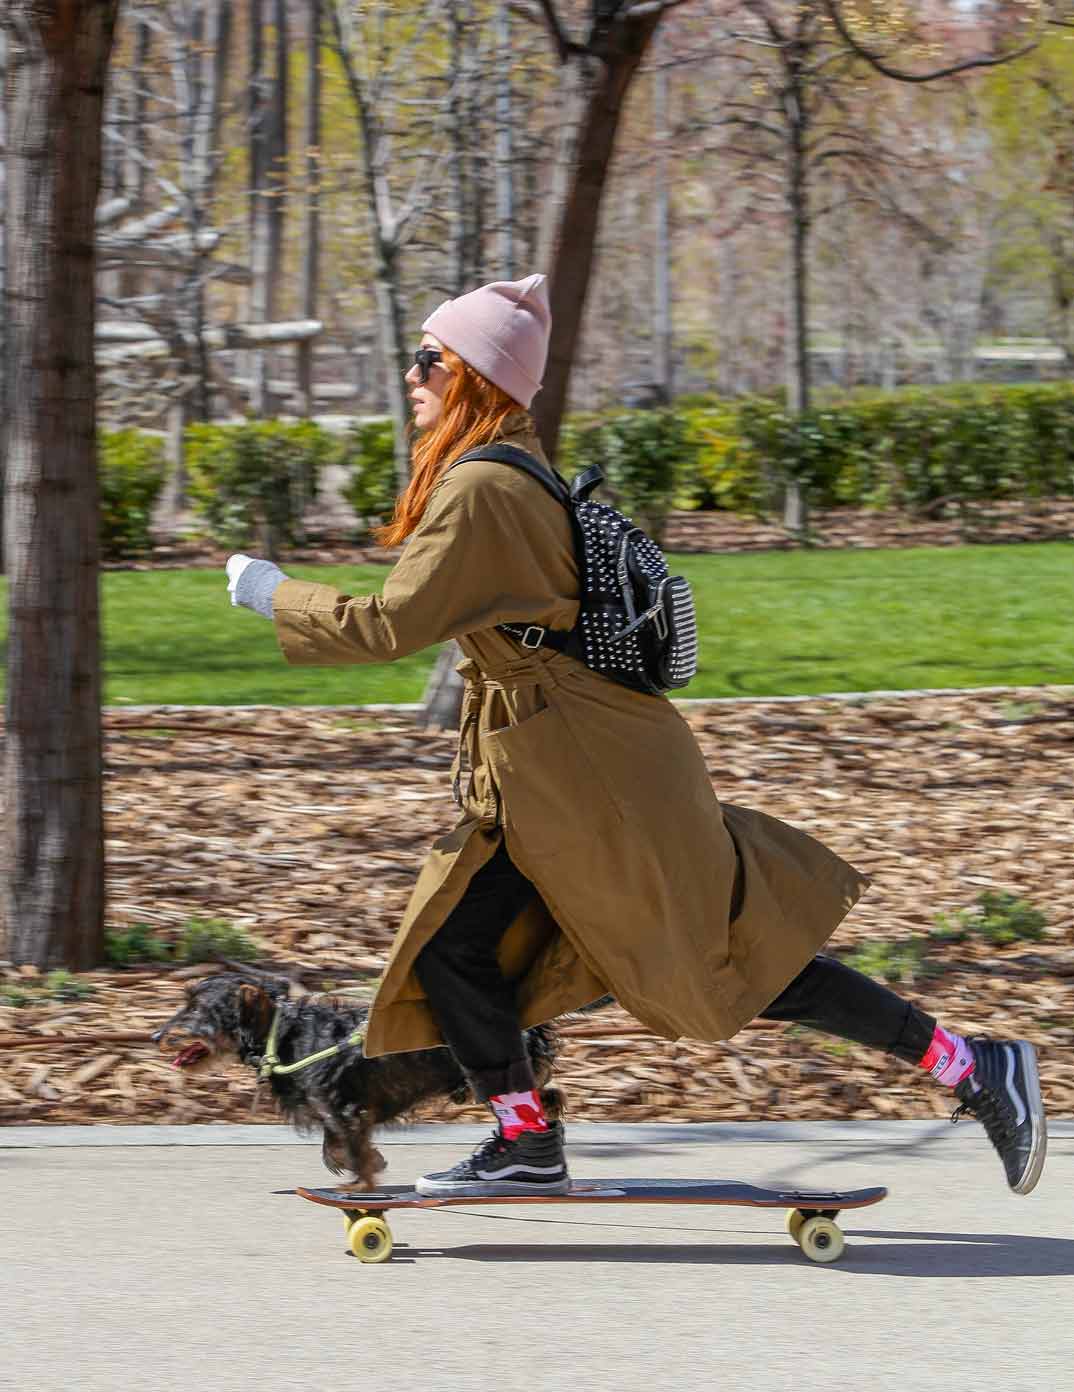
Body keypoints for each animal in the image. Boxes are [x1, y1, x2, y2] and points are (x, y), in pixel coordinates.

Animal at [150, 974, 562, 1191]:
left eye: (197, 1010)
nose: (155, 1035)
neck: (281, 1037)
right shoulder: (338, 1110)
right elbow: (336, 1143)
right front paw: (367, 1163)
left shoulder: (345, 1108)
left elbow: (349, 1145)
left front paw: (360, 1184)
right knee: (547, 1094)